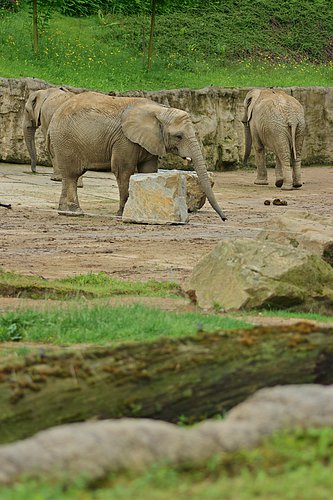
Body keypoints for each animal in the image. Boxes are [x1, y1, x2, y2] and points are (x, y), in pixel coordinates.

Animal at [46, 92, 227, 221]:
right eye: (179, 136)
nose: (225, 219)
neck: (160, 110)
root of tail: (55, 114)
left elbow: (148, 171)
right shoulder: (124, 139)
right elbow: (123, 171)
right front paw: (121, 215)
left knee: (68, 175)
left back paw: (65, 212)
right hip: (66, 140)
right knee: (72, 174)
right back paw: (75, 212)